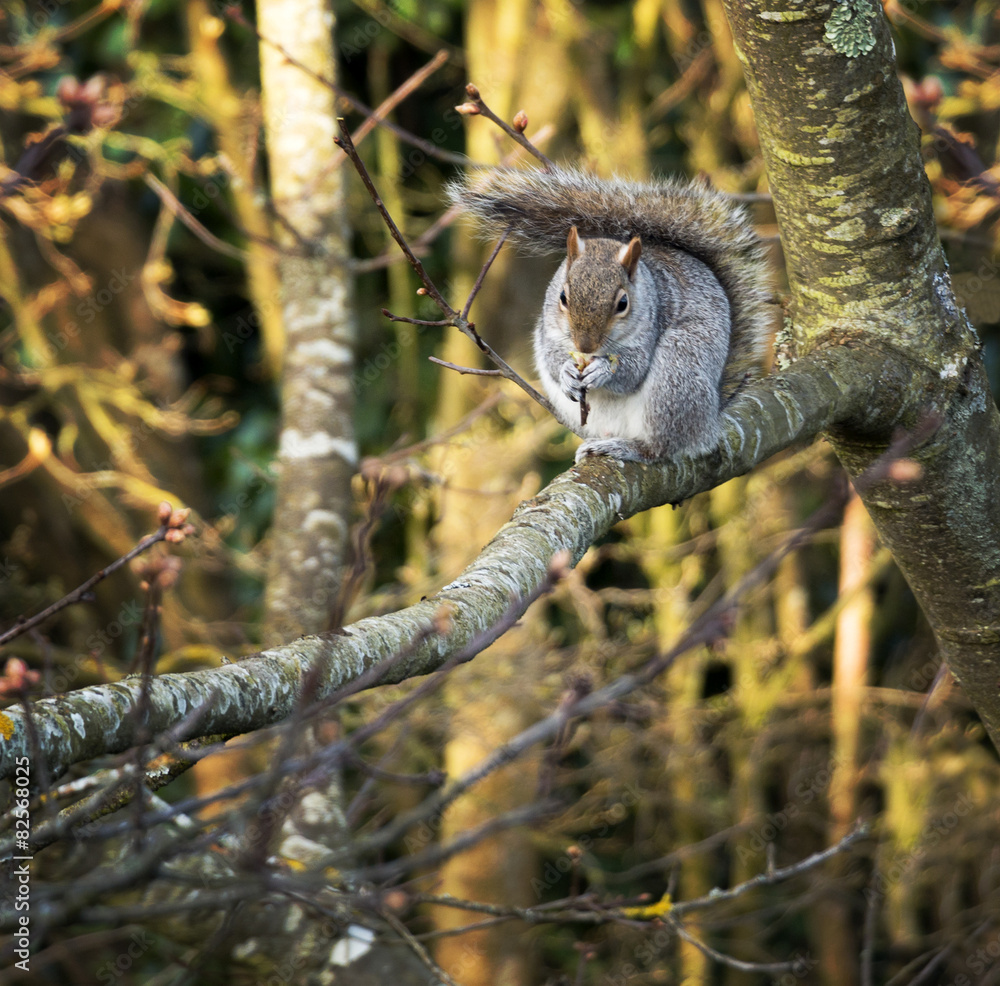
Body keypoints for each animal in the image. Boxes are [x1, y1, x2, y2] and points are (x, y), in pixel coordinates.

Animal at [449, 167, 773, 463]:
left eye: (623, 303)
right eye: (562, 297)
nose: (584, 346)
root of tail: (709, 421)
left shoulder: (650, 328)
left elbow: (633, 370)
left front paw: (604, 370)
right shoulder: (549, 330)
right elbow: (552, 357)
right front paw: (566, 371)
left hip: (676, 379)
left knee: (661, 447)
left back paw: (629, 447)